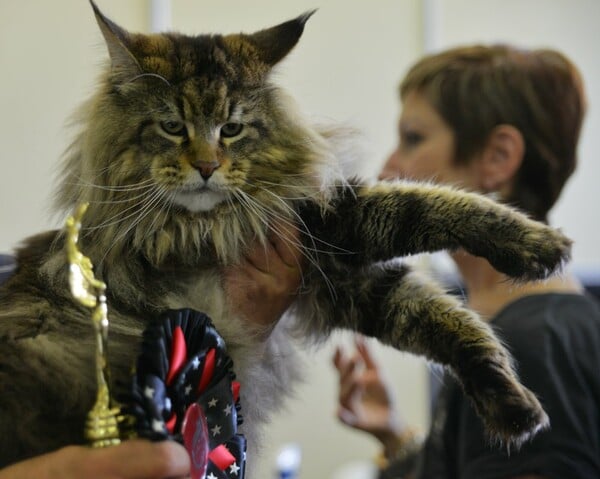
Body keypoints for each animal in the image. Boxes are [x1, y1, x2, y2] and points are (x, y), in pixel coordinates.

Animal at [1, 0, 572, 472]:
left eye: (232, 129)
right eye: (172, 127)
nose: (206, 167)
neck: (205, 222)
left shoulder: (325, 263)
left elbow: (438, 309)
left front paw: (511, 402)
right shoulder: (315, 231)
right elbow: (419, 208)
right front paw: (540, 245)